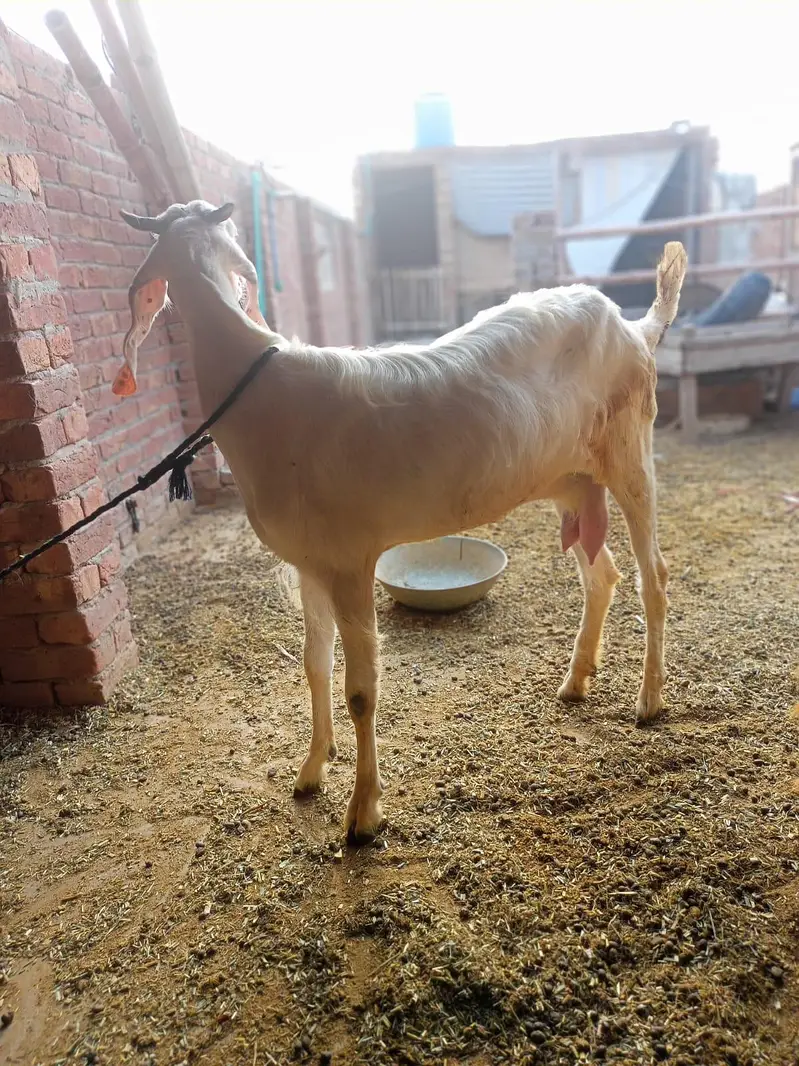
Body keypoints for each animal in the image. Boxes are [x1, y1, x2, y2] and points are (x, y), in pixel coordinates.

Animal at [116, 200, 687, 843]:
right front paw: (311, 770)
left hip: (630, 452)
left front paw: (364, 814)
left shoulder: (349, 559)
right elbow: (314, 666)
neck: (260, 398)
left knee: (653, 576)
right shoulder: (309, 562)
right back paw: (576, 680)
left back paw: (649, 699)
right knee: (601, 575)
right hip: (571, 481)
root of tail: (635, 328)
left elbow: (361, 692)